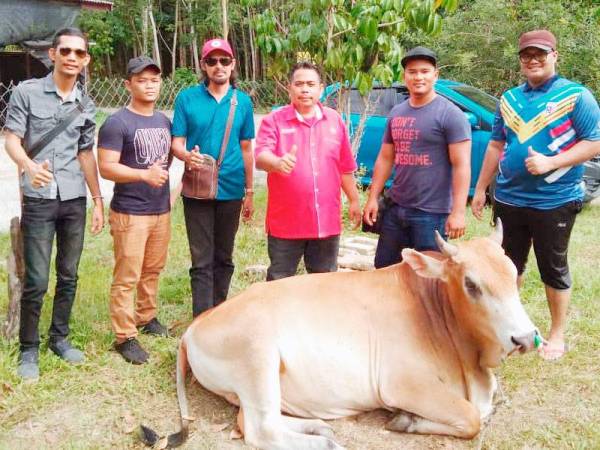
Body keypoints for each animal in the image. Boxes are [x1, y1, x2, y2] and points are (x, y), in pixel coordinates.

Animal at [144, 223, 540, 448]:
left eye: (513, 273)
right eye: (471, 284)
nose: (524, 338)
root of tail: (195, 326)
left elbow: (483, 411)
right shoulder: (403, 385)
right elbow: (472, 418)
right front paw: (406, 420)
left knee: (249, 420)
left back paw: (319, 428)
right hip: (258, 357)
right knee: (261, 429)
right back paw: (327, 443)